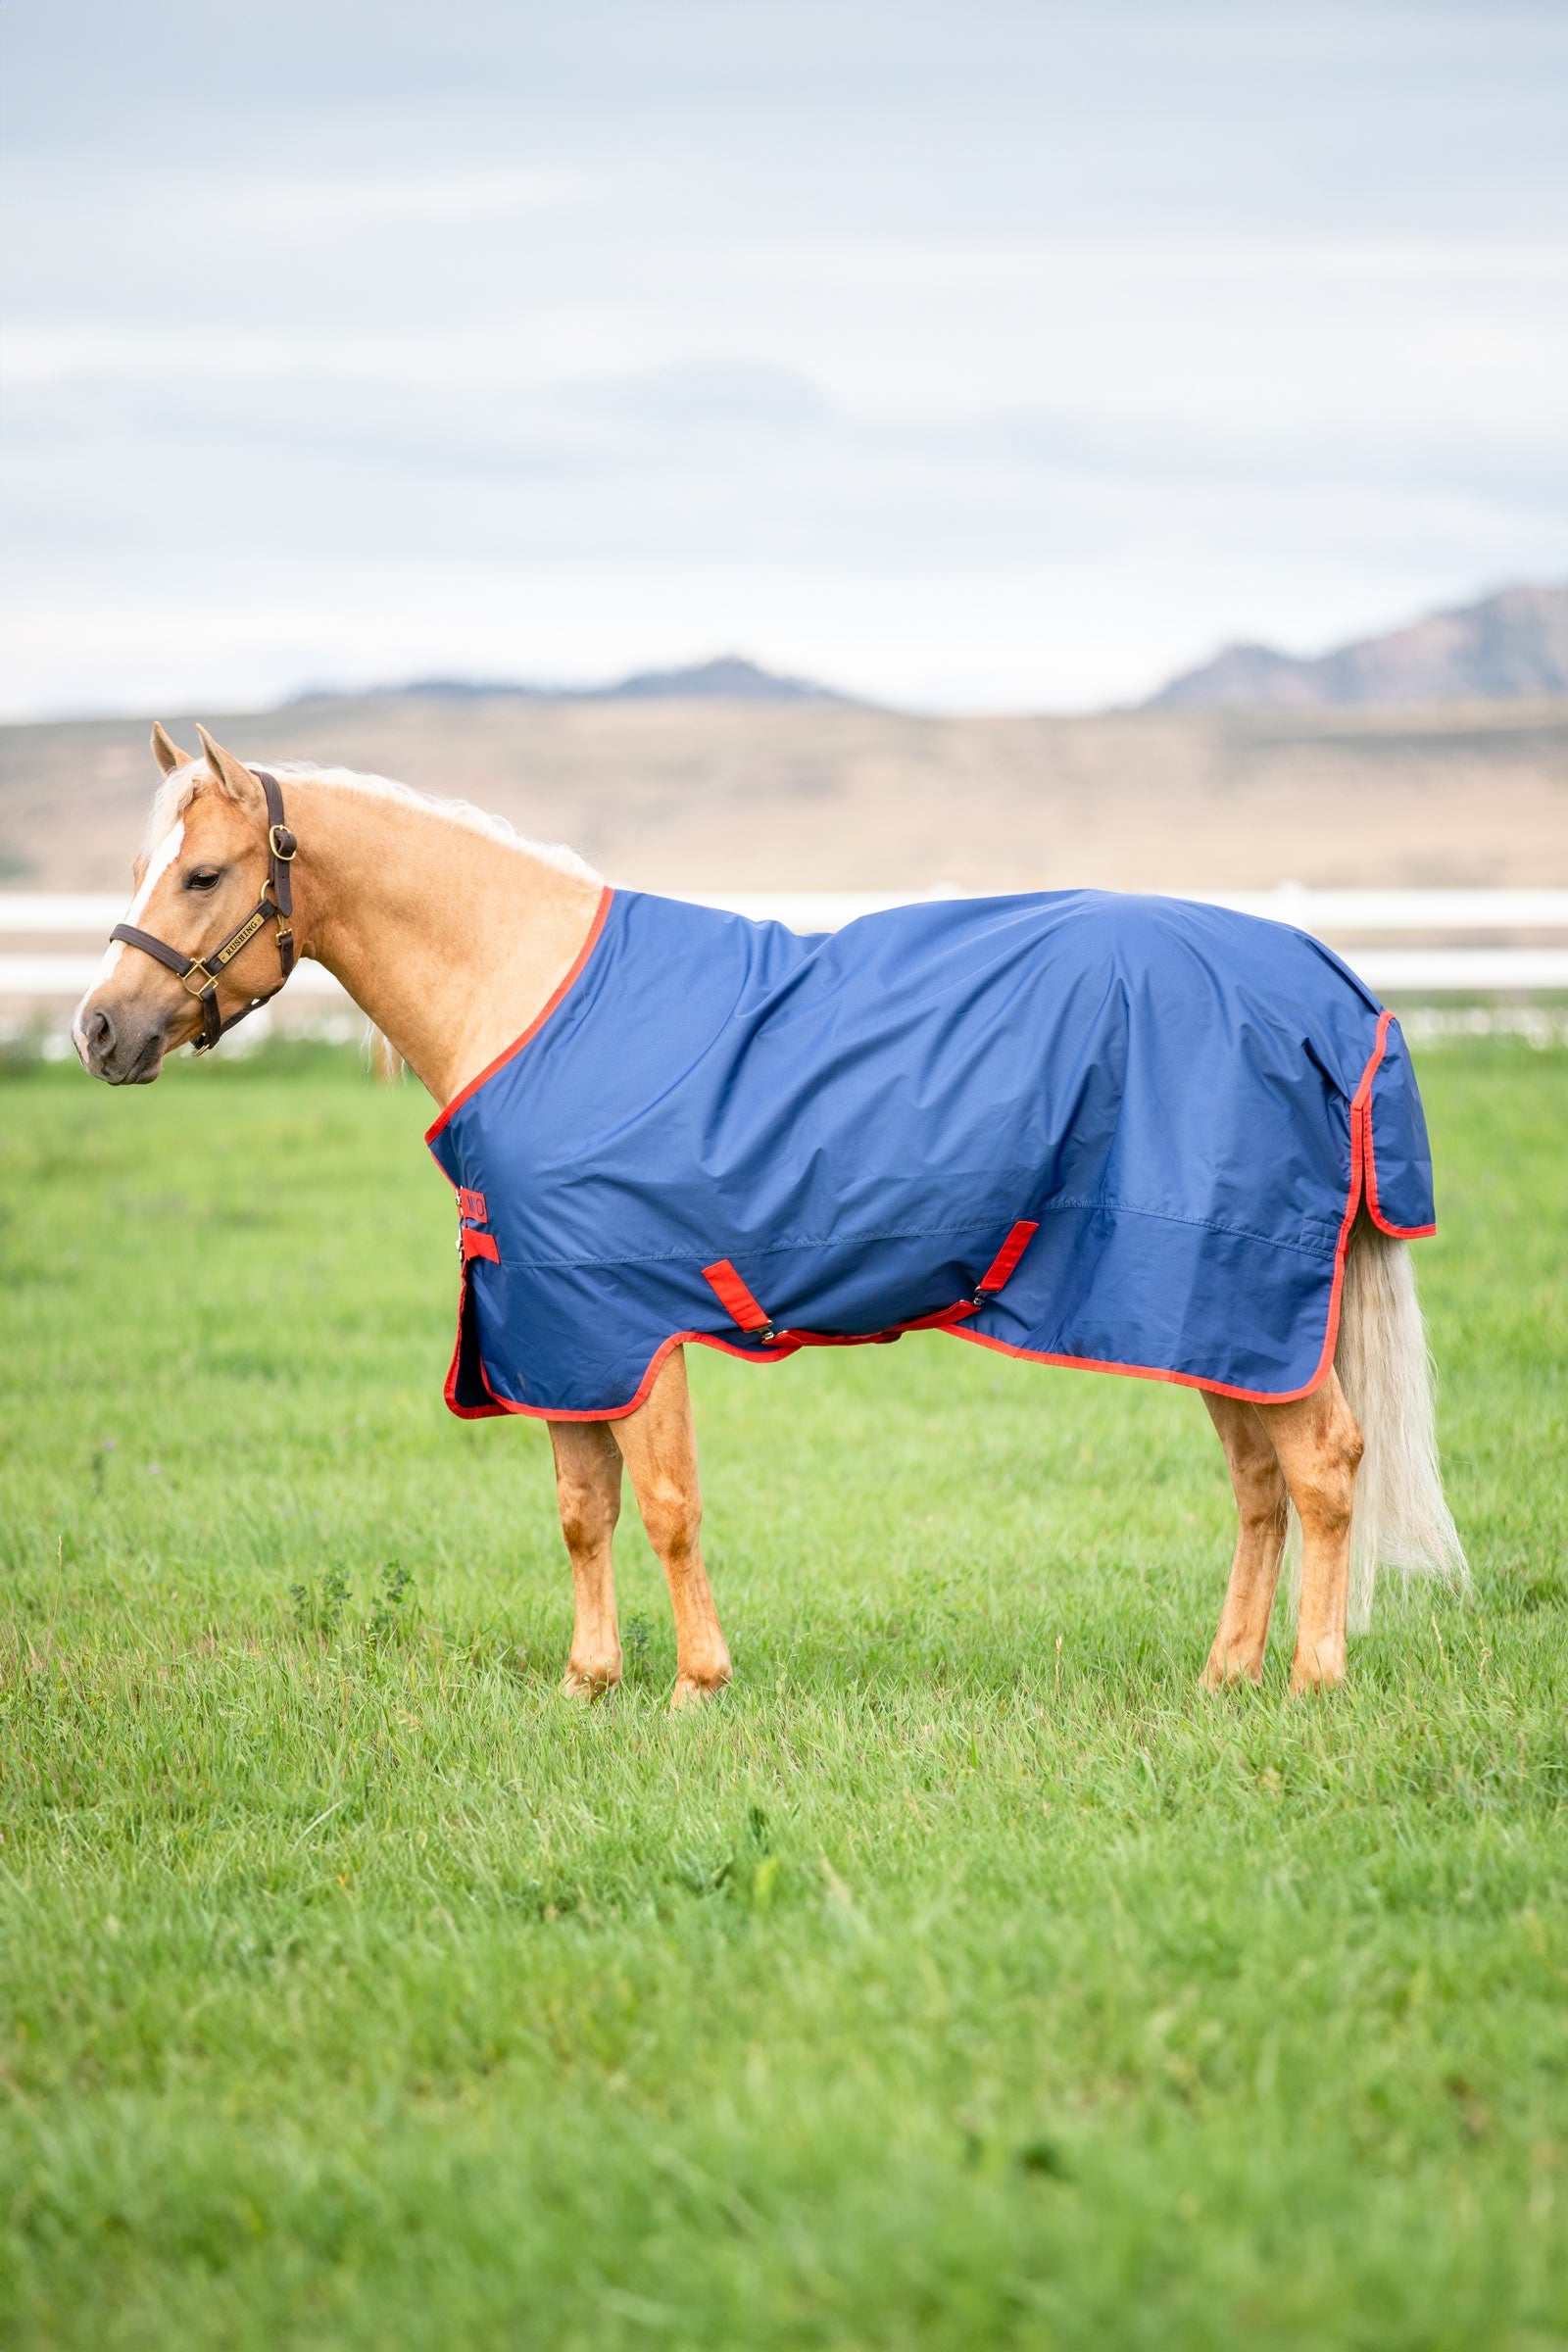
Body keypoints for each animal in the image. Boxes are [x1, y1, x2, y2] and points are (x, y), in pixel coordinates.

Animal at [73, 725, 1466, 1707]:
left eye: (204, 873)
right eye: (141, 867)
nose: (99, 1031)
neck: (532, 1002)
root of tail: (1333, 989)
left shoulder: (628, 1321)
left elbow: (667, 1501)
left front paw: (697, 1685)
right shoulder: (551, 1326)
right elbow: (582, 1509)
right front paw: (588, 1682)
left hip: (1235, 1292)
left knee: (1323, 1468)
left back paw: (1311, 1679)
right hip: (1209, 1315)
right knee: (1260, 1484)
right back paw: (1225, 1675)